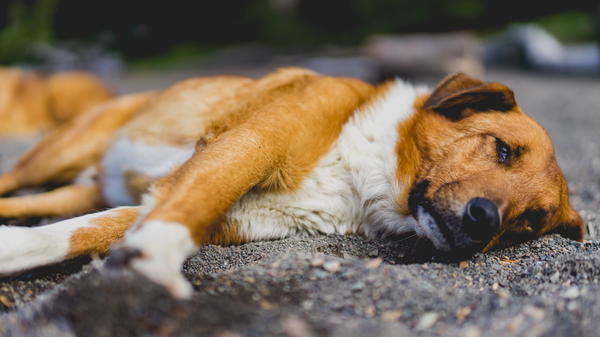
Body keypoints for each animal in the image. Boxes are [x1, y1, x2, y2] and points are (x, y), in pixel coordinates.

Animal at [0, 68, 584, 296]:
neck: (364, 176)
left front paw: (12, 251)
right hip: (51, 158)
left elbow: (79, 232)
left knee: (46, 207)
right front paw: (156, 262)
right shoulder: (247, 145)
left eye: (528, 224)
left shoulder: (225, 215)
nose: (485, 220)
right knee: (16, 179)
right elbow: (192, 203)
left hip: (79, 187)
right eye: (503, 149)